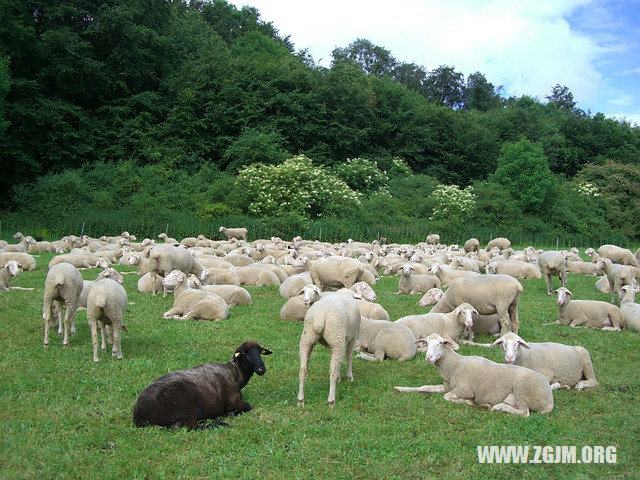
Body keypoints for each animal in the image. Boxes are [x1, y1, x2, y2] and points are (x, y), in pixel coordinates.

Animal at [132, 340, 272, 430]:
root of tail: (139, 415)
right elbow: (248, 407)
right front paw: (230, 414)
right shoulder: (233, 400)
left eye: (259, 352)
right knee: (189, 426)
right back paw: (219, 423)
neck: (235, 373)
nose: (261, 368)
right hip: (186, 404)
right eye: (244, 354)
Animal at [392, 334, 552, 416]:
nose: (429, 357)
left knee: (525, 412)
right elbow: (425, 387)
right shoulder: (447, 386)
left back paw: (497, 406)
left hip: (522, 391)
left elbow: (447, 397)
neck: (455, 365)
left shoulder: (465, 390)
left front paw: (468, 402)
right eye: (425, 342)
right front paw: (401, 388)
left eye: (440, 343)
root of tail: (550, 400)